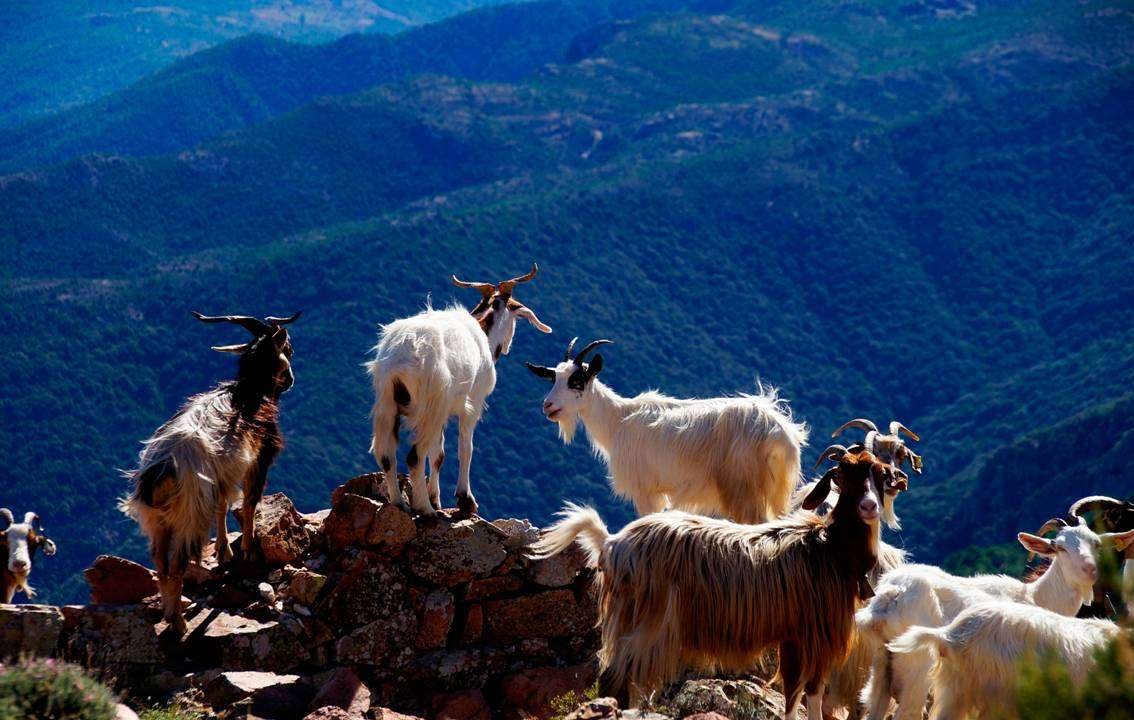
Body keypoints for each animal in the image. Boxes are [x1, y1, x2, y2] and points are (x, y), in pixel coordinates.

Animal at [120, 311, 300, 635]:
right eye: (288, 349)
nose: (290, 381)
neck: (250, 393)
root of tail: (162, 470)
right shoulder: (259, 457)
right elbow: (250, 502)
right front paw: (247, 549)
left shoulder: (221, 477)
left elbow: (223, 505)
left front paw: (224, 551)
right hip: (189, 513)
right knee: (177, 563)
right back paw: (178, 622)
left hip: (157, 519)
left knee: (160, 562)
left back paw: (170, 611)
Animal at [368, 265, 551, 517]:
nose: (507, 347)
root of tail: (402, 355)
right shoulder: (471, 404)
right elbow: (466, 448)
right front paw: (465, 500)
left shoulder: (443, 412)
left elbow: (438, 454)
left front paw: (436, 498)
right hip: (431, 403)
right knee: (414, 456)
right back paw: (425, 509)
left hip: (388, 401)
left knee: (386, 454)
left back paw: (400, 503)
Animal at [526, 338, 807, 524]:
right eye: (554, 378)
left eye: (577, 381)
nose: (548, 406)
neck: (618, 421)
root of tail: (779, 432)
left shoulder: (645, 490)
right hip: (773, 489)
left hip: (743, 486)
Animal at [530, 449, 895, 719]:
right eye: (843, 475)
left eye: (880, 475)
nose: (869, 507)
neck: (830, 547)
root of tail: (611, 543)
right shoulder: (811, 633)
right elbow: (805, 692)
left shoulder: (796, 635)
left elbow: (801, 691)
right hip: (651, 621)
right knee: (615, 677)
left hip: (627, 618)